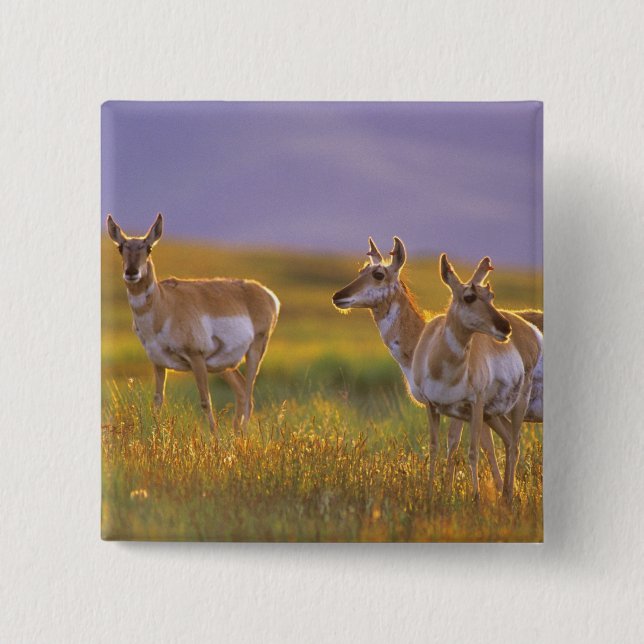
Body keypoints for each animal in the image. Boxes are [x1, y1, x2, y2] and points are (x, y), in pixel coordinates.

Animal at [106, 213, 280, 435]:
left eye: (149, 248)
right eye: (120, 248)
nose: (131, 272)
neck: (164, 305)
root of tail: (267, 293)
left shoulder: (196, 358)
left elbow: (206, 402)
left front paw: (215, 440)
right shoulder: (158, 363)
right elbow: (157, 402)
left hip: (254, 351)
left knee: (249, 394)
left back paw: (242, 434)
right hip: (223, 365)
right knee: (242, 391)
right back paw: (236, 434)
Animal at [412, 253, 542, 501]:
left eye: (491, 296)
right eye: (469, 297)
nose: (505, 327)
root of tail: (529, 329)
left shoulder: (475, 405)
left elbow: (473, 452)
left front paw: (476, 497)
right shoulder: (433, 407)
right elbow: (435, 447)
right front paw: (431, 493)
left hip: (516, 404)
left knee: (514, 445)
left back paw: (508, 497)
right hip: (492, 415)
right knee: (508, 440)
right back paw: (505, 495)